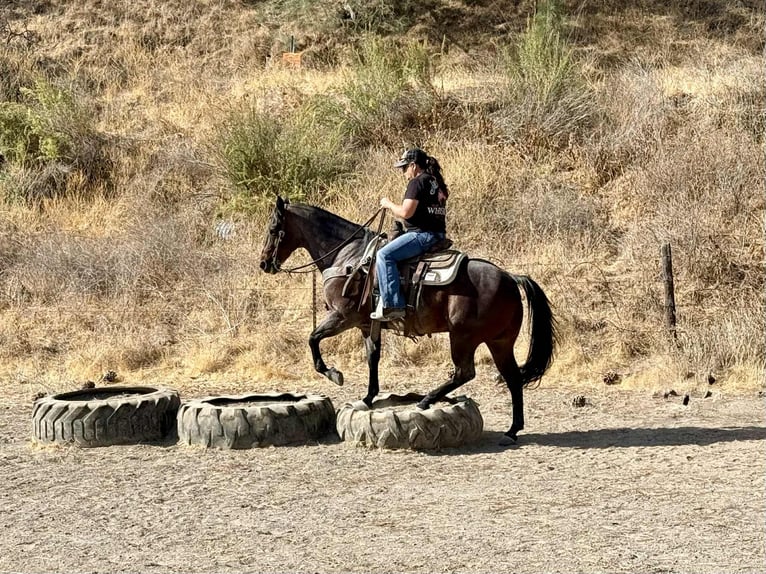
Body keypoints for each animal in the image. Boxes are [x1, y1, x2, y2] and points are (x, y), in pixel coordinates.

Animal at [258, 196, 558, 444]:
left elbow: (313, 339)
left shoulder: (342, 317)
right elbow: (372, 357)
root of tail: (510, 278)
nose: (264, 264)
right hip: (500, 342)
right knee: (512, 378)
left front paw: (334, 374)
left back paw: (426, 401)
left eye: (273, 229)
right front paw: (368, 397)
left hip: (463, 337)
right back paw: (512, 430)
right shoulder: (367, 324)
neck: (348, 257)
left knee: (465, 372)